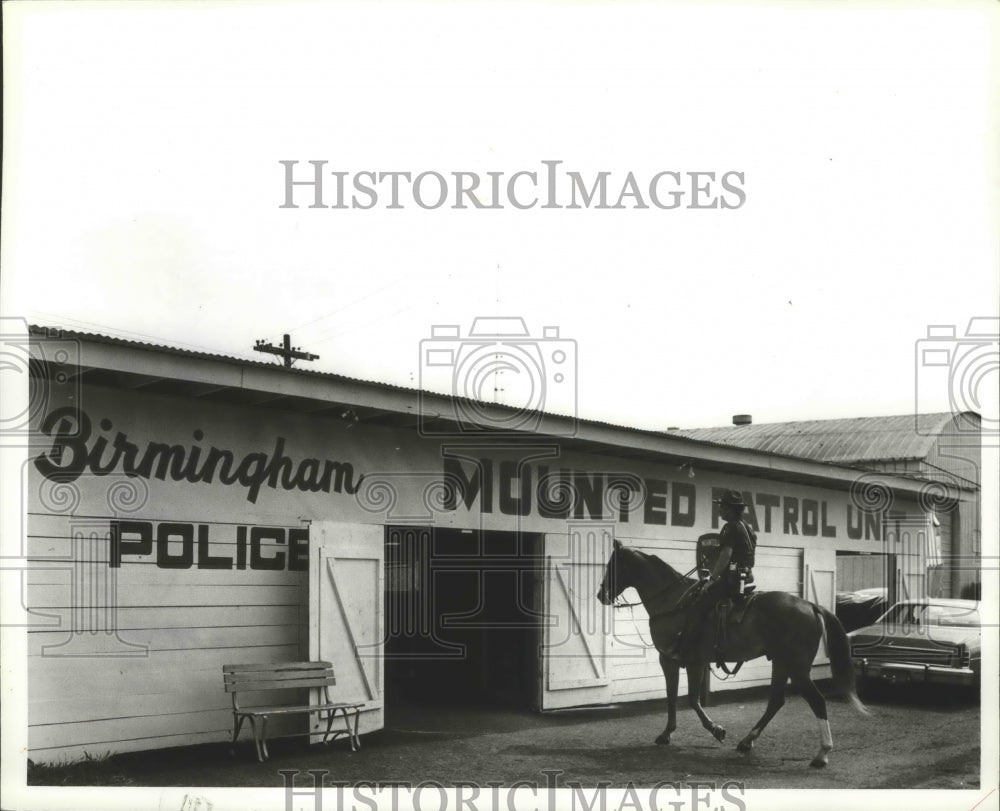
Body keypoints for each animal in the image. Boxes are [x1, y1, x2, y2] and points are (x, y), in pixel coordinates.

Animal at [592, 540, 868, 768]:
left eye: (614, 565)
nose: (600, 595)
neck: (675, 603)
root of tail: (811, 605)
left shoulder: (678, 660)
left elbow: (686, 699)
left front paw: (707, 730)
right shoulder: (688, 662)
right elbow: (681, 698)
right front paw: (675, 732)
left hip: (797, 669)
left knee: (817, 701)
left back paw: (822, 753)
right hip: (780, 663)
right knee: (776, 701)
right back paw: (747, 741)